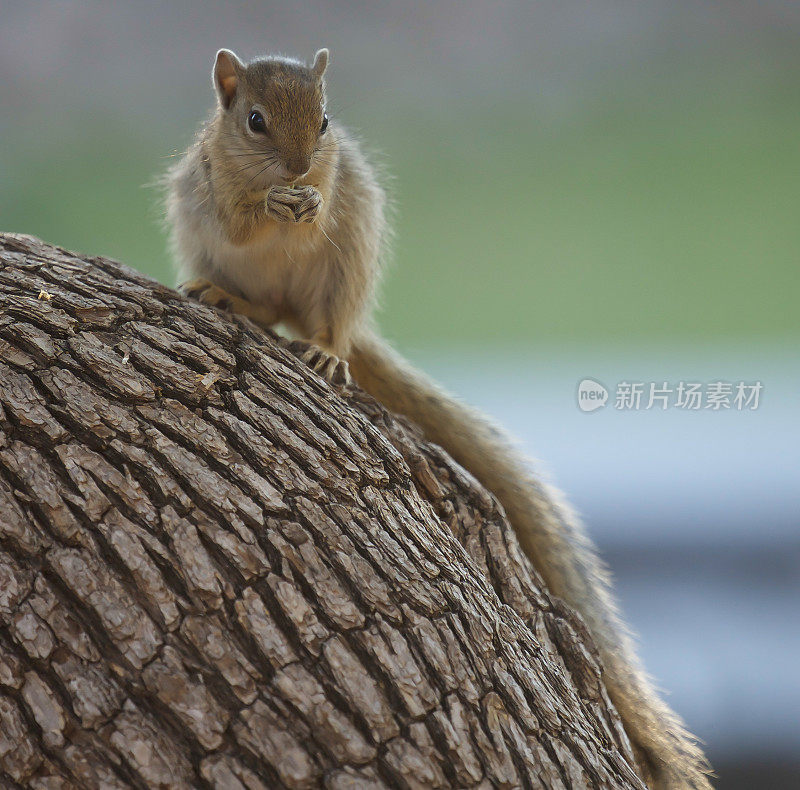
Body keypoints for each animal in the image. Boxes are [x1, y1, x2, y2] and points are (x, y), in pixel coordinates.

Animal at [167, 49, 712, 790]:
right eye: (253, 121)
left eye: (326, 121)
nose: (301, 167)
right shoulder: (213, 186)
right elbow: (242, 220)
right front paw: (273, 204)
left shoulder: (336, 181)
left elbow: (318, 206)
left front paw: (307, 203)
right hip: (211, 247)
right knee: (258, 304)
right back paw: (231, 298)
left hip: (348, 261)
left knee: (323, 322)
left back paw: (328, 350)